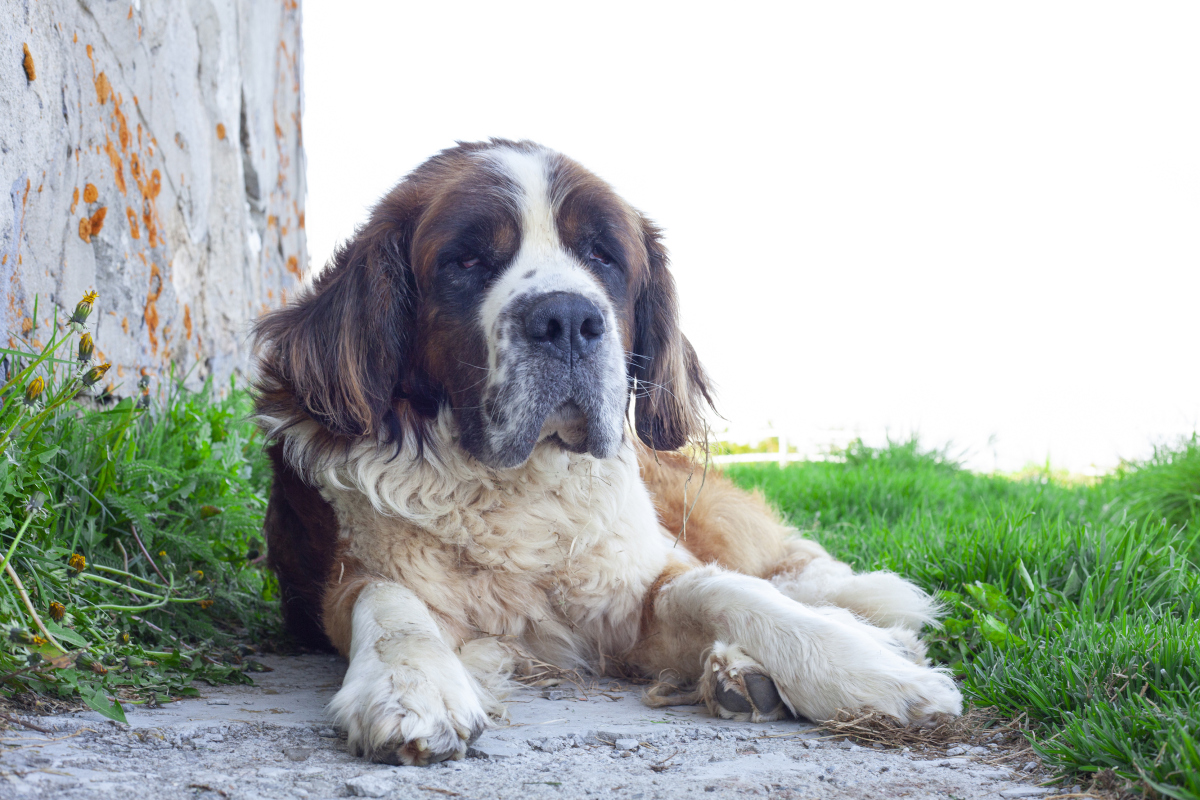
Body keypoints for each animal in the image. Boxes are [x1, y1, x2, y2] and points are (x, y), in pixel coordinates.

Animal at [255, 140, 964, 767]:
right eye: (467, 261)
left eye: (602, 256)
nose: (567, 319)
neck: (519, 488)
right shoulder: (348, 578)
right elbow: (388, 599)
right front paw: (411, 688)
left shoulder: (637, 583)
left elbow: (726, 590)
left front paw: (870, 669)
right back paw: (740, 674)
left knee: (787, 569)